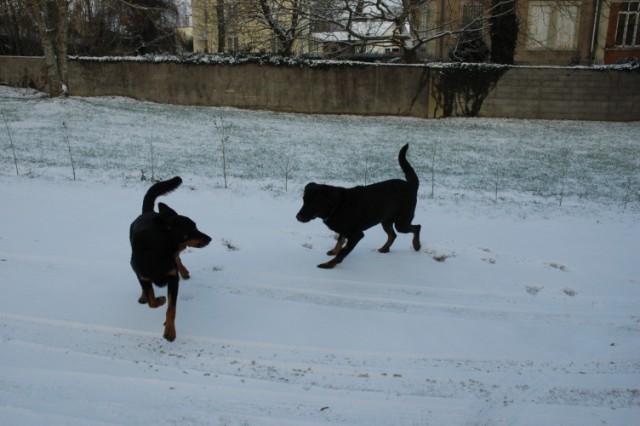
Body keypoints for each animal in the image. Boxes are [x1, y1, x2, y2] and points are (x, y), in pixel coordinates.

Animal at [129, 176, 211, 340]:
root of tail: (148, 211)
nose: (209, 238)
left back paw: (184, 271)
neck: (159, 251)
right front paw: (159, 299)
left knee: (178, 257)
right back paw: (143, 296)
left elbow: (171, 309)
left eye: (196, 226)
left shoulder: (173, 279)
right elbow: (152, 300)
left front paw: (170, 331)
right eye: (191, 229)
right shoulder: (142, 273)